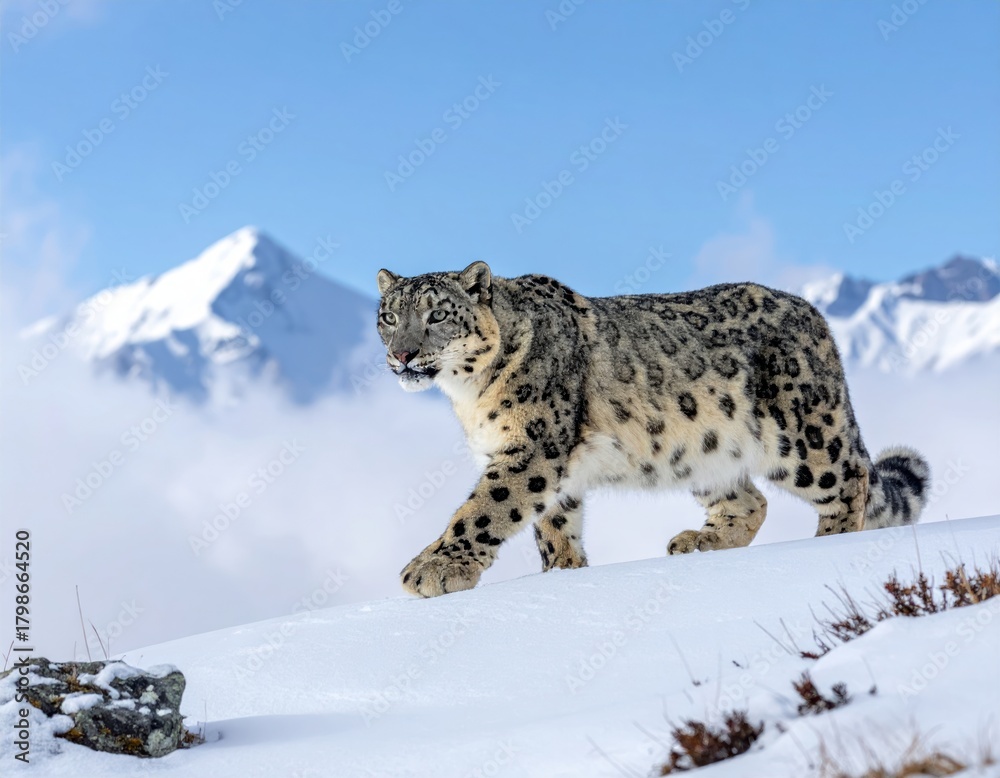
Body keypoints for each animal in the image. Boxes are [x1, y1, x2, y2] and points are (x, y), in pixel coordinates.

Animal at [376, 261, 930, 598]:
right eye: (389, 317)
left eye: (438, 314)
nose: (401, 354)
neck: (469, 395)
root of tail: (816, 317)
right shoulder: (552, 469)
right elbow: (553, 528)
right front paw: (565, 575)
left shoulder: (532, 448)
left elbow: (485, 509)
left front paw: (433, 569)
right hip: (707, 452)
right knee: (750, 501)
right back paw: (698, 542)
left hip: (804, 433)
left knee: (851, 481)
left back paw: (826, 544)